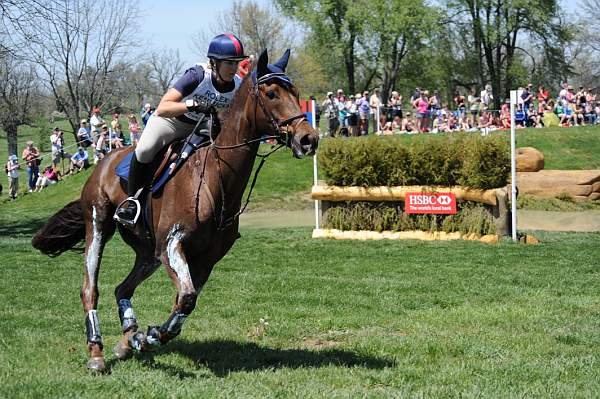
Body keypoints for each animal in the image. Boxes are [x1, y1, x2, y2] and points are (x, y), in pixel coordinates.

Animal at [30, 50, 318, 372]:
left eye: (296, 93)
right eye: (271, 94)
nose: (309, 139)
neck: (215, 178)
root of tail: (103, 161)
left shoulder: (205, 259)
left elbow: (184, 303)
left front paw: (146, 337)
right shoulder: (172, 245)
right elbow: (186, 298)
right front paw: (150, 336)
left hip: (148, 252)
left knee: (122, 289)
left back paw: (127, 340)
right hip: (99, 224)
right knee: (90, 288)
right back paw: (97, 353)